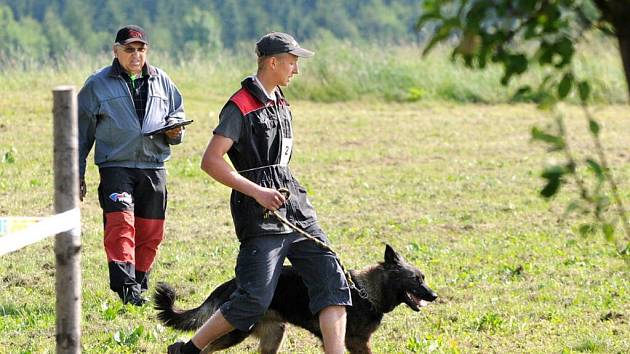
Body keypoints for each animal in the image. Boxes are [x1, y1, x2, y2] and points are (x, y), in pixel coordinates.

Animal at [154, 245, 440, 352]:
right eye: (417, 280)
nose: (435, 296)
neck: (365, 292)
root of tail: (232, 284)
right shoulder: (356, 342)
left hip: (272, 335)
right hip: (236, 331)